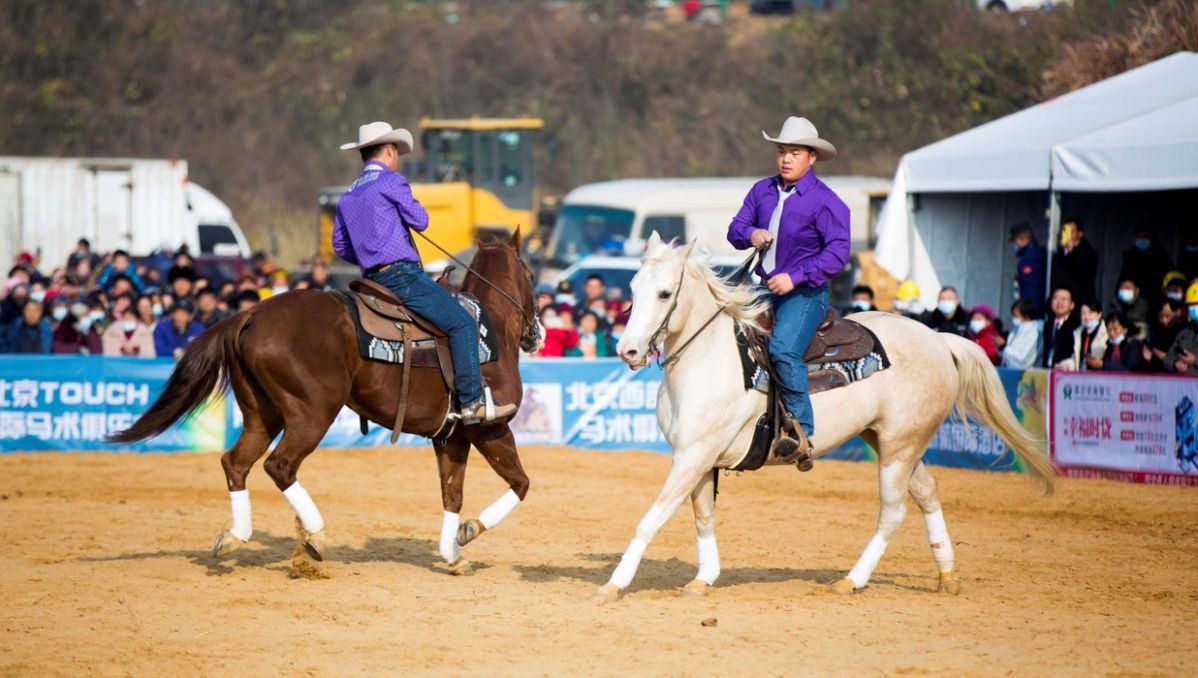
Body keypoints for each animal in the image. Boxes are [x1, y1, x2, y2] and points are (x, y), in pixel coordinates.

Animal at [110, 231, 541, 577]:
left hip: (262, 415)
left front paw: (452, 554)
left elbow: (452, 493)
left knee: (236, 463)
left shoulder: (450, 437)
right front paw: (468, 533)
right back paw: (314, 537)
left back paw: (237, 536)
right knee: (279, 466)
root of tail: (250, 315)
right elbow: (521, 483)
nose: (537, 334)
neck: (490, 331)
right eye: (531, 275)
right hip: (313, 414)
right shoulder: (489, 428)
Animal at [594, 234, 1054, 606]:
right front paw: (703, 579)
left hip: (899, 447)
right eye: (633, 288)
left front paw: (614, 585)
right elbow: (703, 517)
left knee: (892, 512)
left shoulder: (692, 457)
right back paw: (948, 575)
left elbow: (649, 520)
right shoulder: (699, 460)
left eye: (664, 293)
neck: (707, 357)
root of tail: (938, 339)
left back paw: (852, 580)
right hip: (891, 441)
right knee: (927, 493)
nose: (627, 350)